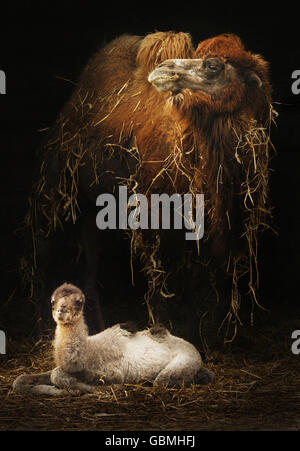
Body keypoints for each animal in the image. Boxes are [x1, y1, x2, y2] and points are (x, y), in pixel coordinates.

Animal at [12, 284, 214, 398]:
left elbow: (58, 375)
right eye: (53, 301)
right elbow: (21, 380)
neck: (88, 353)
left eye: (78, 302)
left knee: (162, 381)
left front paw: (78, 391)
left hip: (185, 360)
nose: (62, 310)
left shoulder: (112, 372)